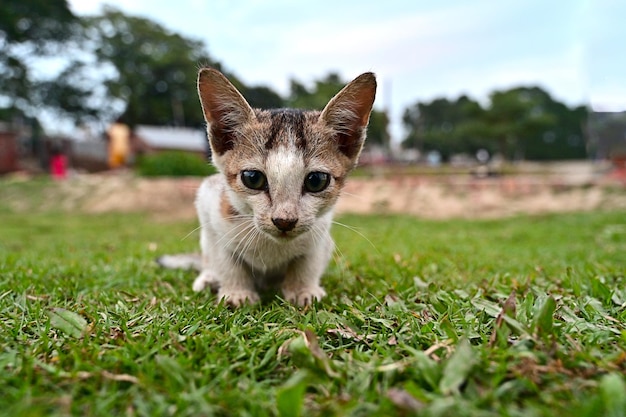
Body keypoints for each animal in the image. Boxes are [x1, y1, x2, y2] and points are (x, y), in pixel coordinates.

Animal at [161, 68, 376, 308]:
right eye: (253, 178)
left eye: (316, 181)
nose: (284, 221)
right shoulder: (210, 203)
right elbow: (223, 256)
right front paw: (237, 291)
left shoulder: (321, 229)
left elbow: (309, 260)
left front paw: (303, 289)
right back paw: (208, 277)